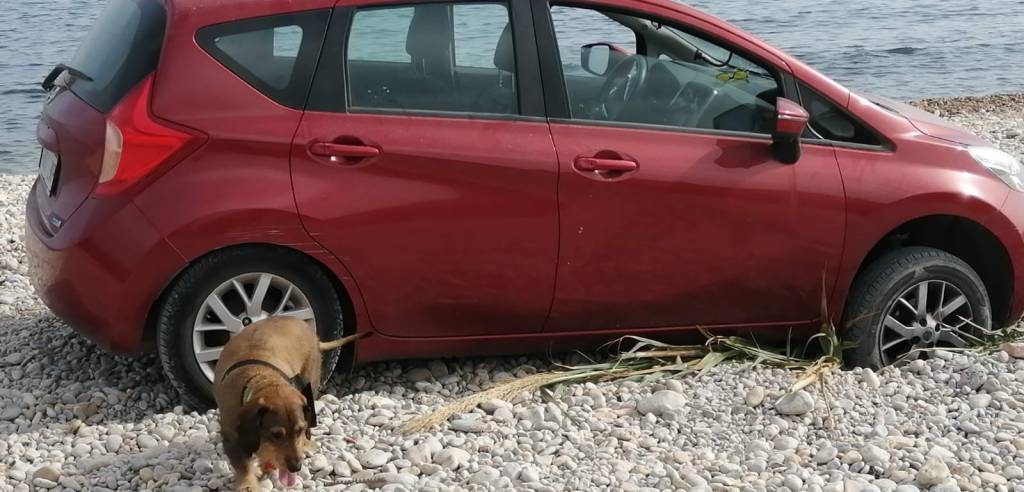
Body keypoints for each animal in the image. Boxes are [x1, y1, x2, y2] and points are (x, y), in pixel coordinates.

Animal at [214, 317, 363, 491]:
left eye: (300, 430)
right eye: (276, 434)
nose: (296, 467)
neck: (259, 377)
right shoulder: (231, 438)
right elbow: (243, 466)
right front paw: (247, 484)